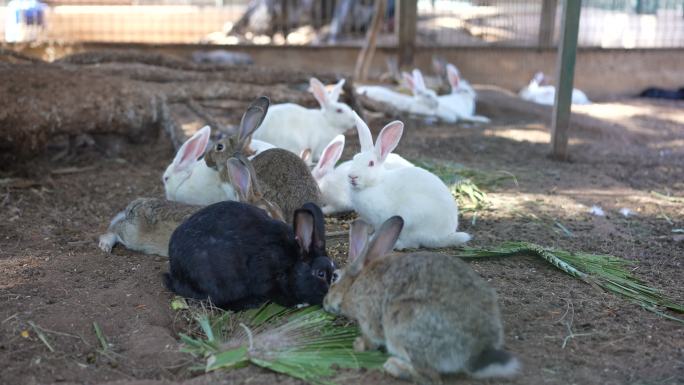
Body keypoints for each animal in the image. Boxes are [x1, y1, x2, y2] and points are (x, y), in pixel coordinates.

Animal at [99, 154, 284, 256]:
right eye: (264, 213)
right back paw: (105, 245)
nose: (283, 227)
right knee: (114, 229)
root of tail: (133, 207)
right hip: (132, 235)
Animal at [166, 200, 336, 310]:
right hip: (216, 282)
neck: (292, 263)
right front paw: (299, 303)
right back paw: (251, 303)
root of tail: (174, 271)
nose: (333, 294)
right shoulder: (265, 279)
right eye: (320, 274)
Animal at [324, 216, 520, 384]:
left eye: (334, 277)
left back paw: (395, 367)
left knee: (430, 377)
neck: (354, 283)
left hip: (402, 324)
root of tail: (476, 352)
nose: (325, 302)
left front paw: (359, 345)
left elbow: (371, 338)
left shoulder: (369, 318)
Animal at [348, 112, 470, 249]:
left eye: (371, 163)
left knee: (413, 243)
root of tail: (443, 236)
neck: (376, 183)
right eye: (355, 158)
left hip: (410, 220)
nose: (352, 176)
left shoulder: (381, 219)